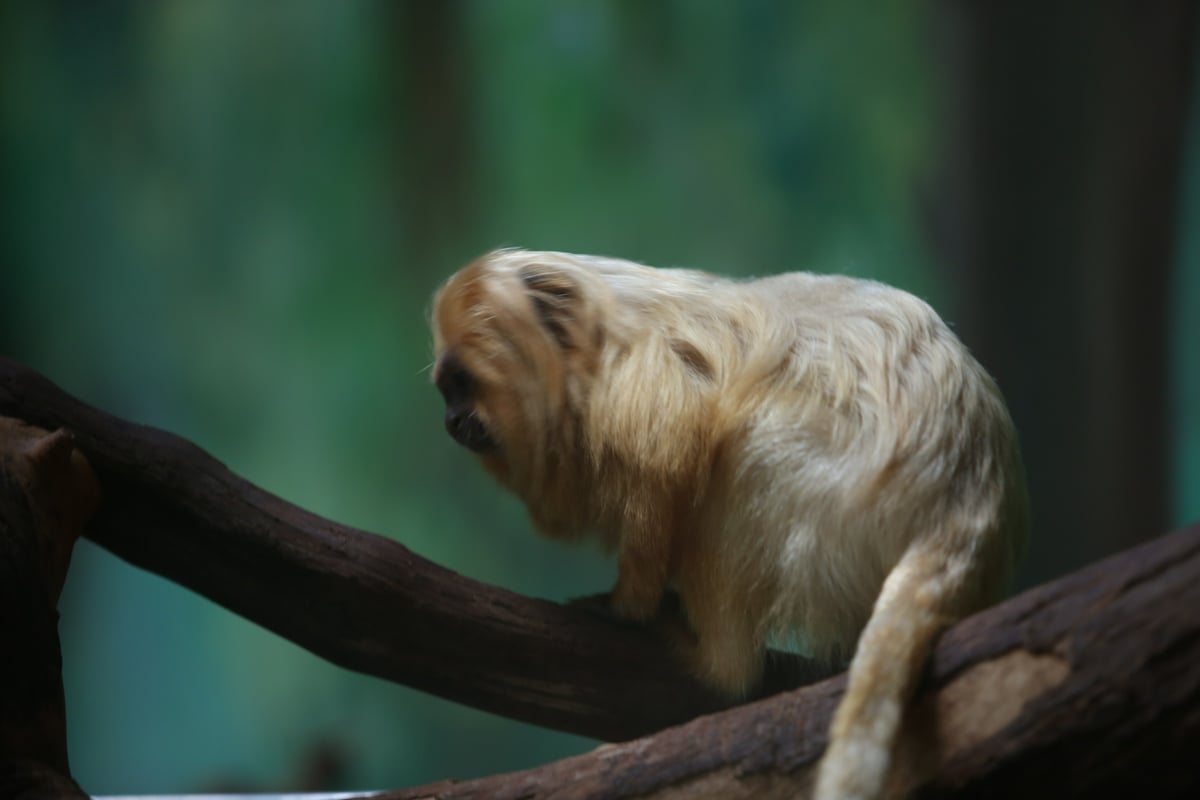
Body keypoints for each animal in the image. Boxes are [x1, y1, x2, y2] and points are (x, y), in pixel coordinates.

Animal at [427, 247, 1027, 796]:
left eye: (462, 384)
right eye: (446, 391)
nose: (450, 422)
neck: (591, 354)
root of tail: (963, 493)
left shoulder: (647, 381)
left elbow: (672, 458)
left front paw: (628, 608)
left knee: (738, 464)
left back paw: (713, 659)